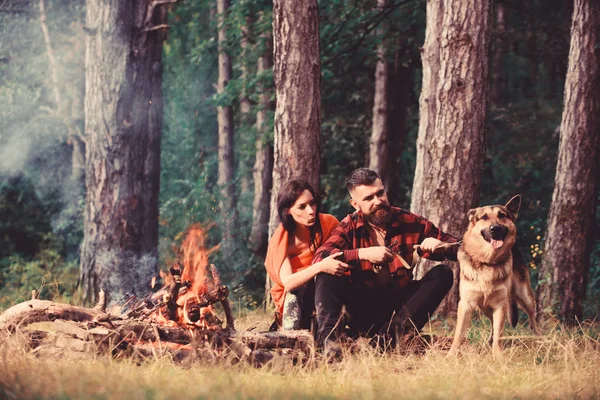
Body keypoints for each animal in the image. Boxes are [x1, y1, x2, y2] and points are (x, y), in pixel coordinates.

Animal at [448, 195, 540, 356]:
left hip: (526, 298)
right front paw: (451, 355)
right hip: (485, 307)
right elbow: (458, 334)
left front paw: (497, 356)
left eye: (502, 215)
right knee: (492, 324)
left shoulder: (500, 305)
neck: (487, 261)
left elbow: (499, 333)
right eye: (484, 217)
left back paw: (541, 343)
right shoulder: (466, 305)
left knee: (533, 321)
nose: (495, 228)